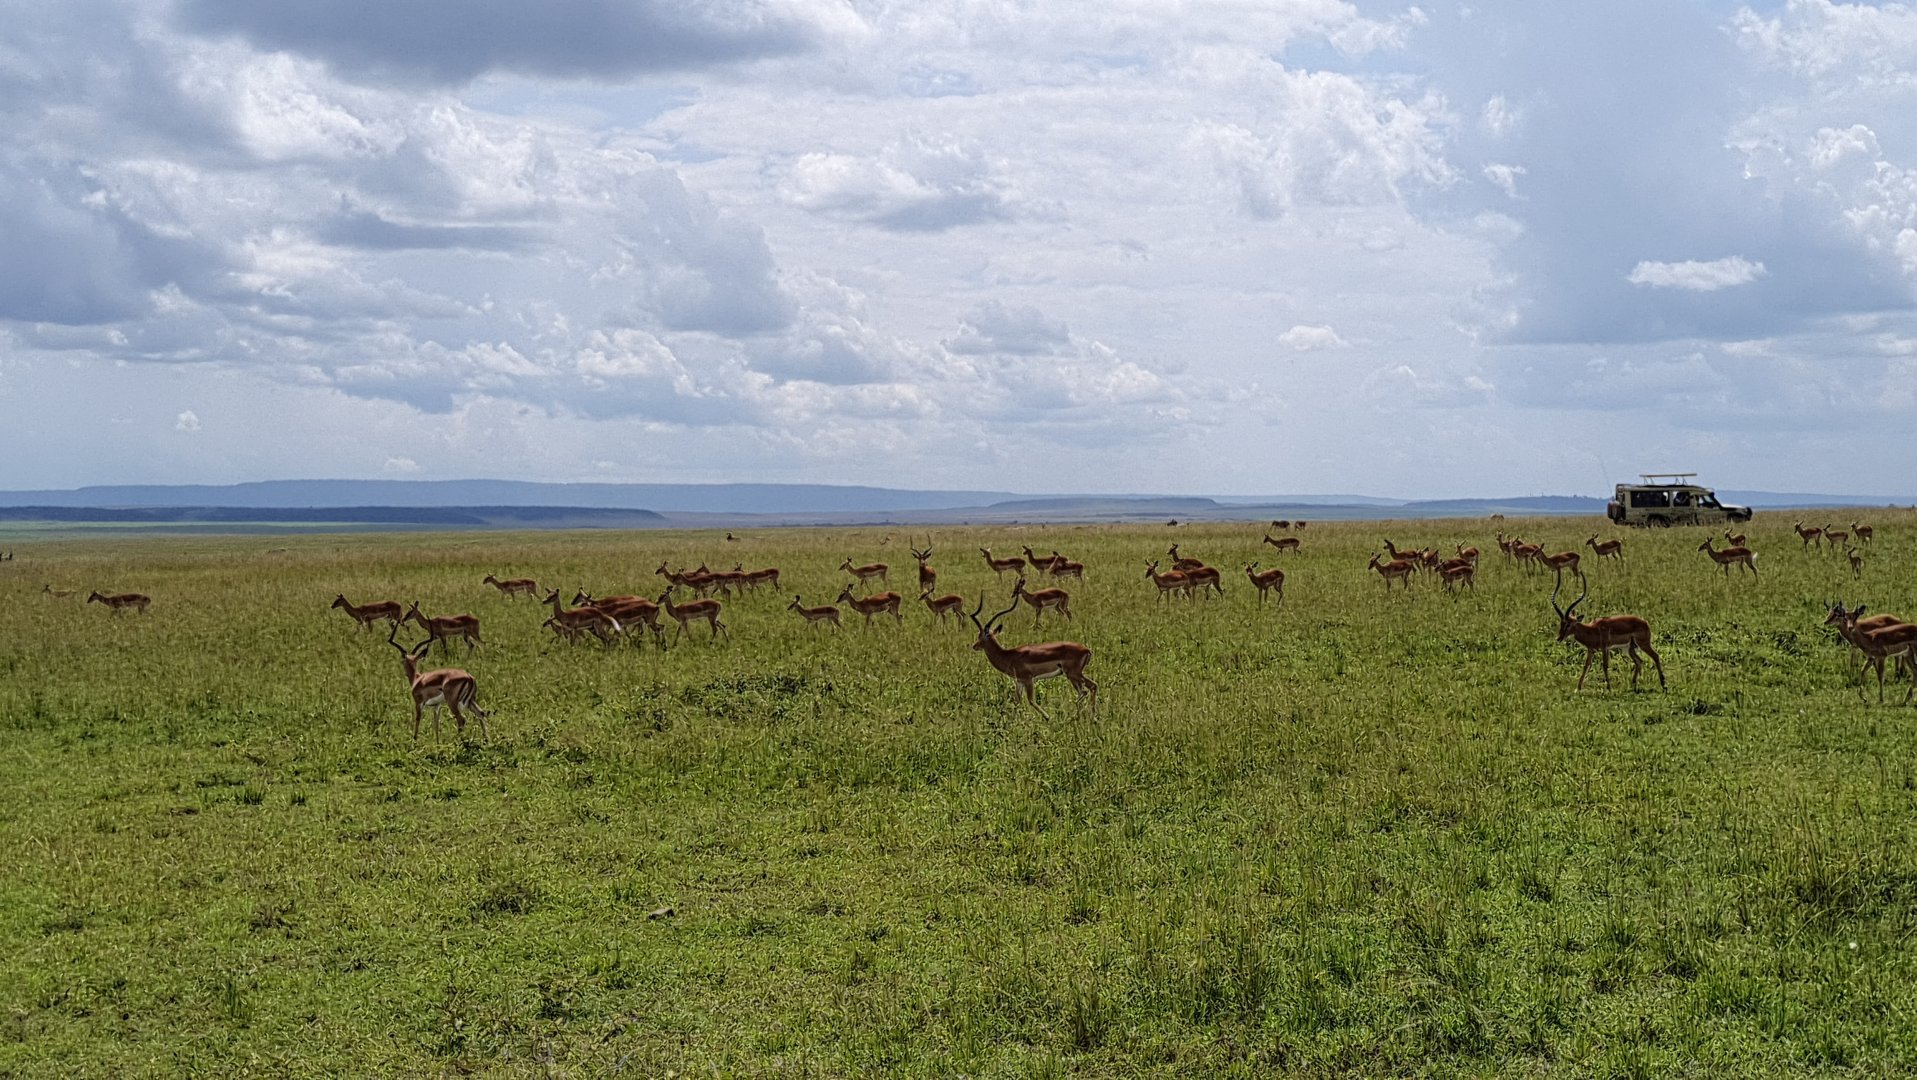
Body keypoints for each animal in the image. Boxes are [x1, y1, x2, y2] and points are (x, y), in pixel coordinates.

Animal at [966, 595, 1097, 717]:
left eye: (984, 635)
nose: (974, 646)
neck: (1009, 656)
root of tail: (1086, 650)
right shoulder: (1019, 681)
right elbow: (1017, 701)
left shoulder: (1028, 679)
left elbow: (1031, 701)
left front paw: (1048, 717)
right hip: (1073, 676)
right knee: (1084, 690)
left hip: (1073, 674)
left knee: (1091, 687)